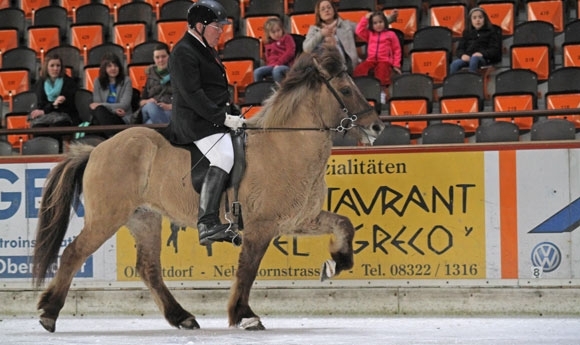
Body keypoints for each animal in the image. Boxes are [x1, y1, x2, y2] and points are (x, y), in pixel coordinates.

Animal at [31, 45, 386, 330]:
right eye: (345, 89)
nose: (377, 126)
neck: (285, 145)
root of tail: (96, 150)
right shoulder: (261, 227)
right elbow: (247, 271)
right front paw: (244, 315)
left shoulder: (299, 220)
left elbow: (344, 224)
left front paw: (336, 262)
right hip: (108, 217)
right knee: (74, 253)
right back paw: (49, 313)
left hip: (143, 217)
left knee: (148, 268)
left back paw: (182, 317)